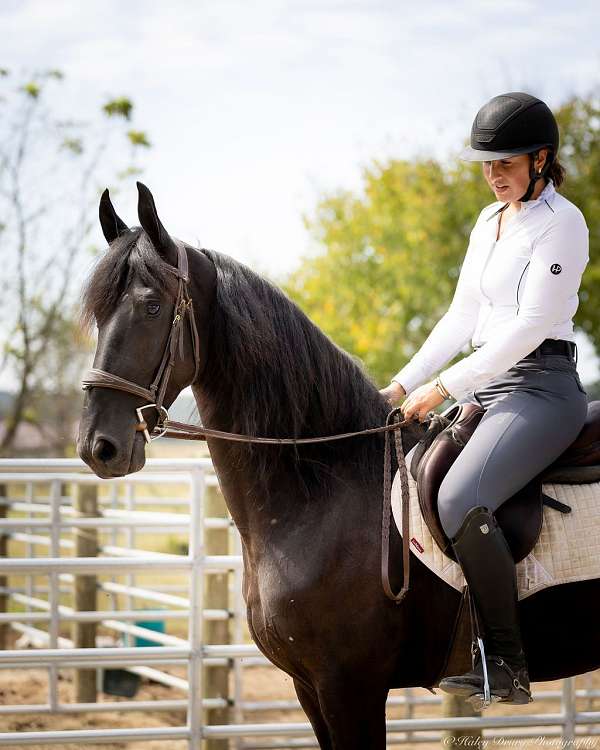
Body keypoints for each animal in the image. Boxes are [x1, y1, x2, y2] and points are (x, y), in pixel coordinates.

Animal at [79, 184, 600, 750]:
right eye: (99, 315)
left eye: (152, 307)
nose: (98, 446)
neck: (323, 493)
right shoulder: (309, 688)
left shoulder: (350, 688)